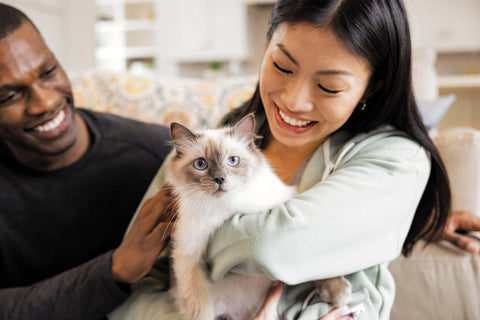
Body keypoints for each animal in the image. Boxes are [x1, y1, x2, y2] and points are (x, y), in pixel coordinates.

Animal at [166, 114, 352, 320]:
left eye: (233, 161)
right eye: (201, 164)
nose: (220, 179)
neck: (229, 208)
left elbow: (315, 265)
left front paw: (339, 293)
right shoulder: (188, 258)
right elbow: (199, 309)